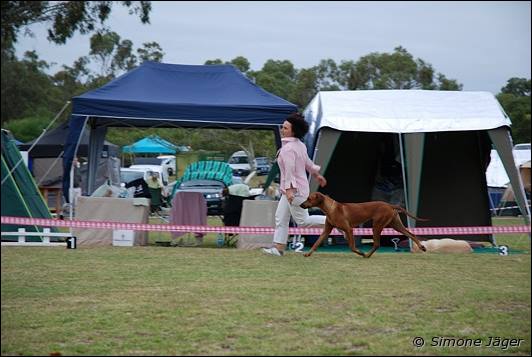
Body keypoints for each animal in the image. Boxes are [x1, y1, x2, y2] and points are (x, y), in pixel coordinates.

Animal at [300, 192, 428, 256]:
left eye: (309, 198)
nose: (301, 205)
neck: (331, 208)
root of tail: (389, 205)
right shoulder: (326, 230)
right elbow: (316, 243)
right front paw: (308, 253)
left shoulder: (349, 229)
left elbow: (352, 247)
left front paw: (360, 252)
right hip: (395, 224)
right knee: (412, 234)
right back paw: (422, 246)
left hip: (377, 225)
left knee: (377, 244)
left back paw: (366, 255)